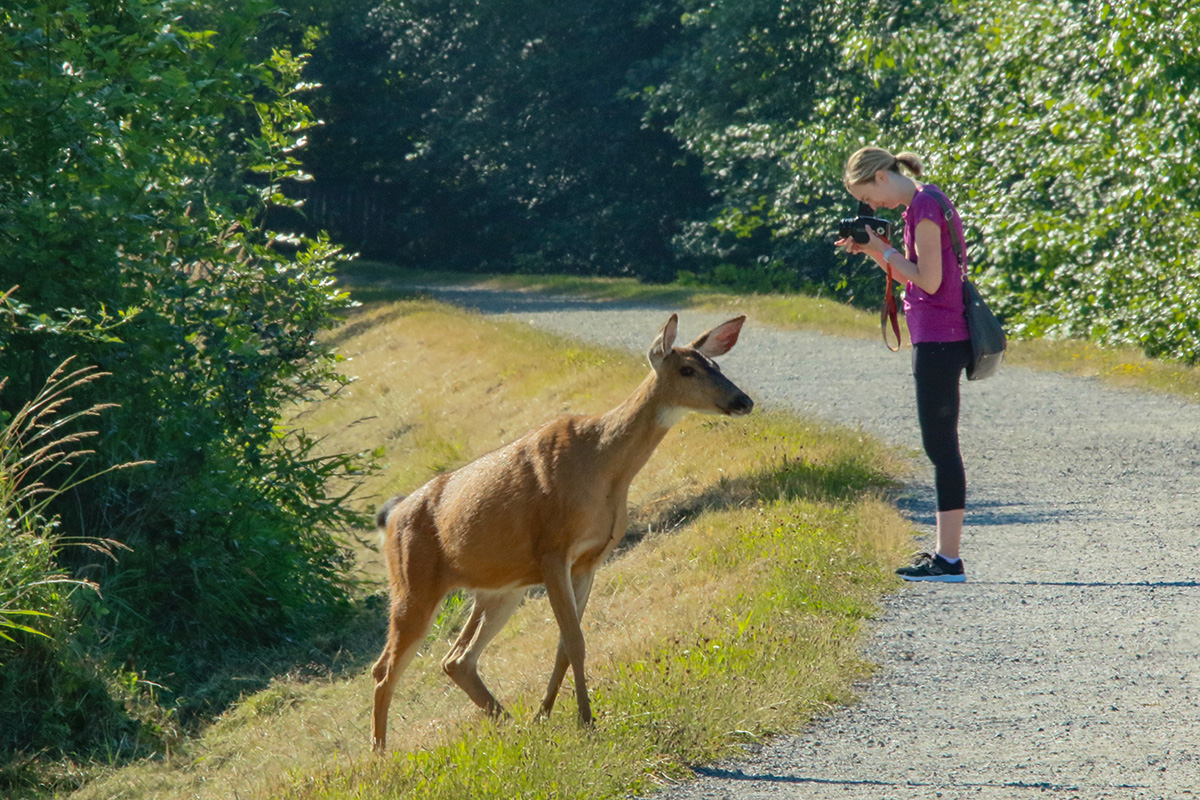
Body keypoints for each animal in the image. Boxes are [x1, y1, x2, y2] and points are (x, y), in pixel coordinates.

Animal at [369, 311, 753, 753]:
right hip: (412, 584)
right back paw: (380, 755)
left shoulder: (589, 560)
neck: (602, 467)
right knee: (385, 669)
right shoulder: (552, 549)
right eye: (687, 369)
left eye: (717, 365)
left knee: (456, 659)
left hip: (501, 589)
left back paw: (514, 724)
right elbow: (574, 641)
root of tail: (391, 517)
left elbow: (564, 647)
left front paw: (546, 715)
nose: (743, 400)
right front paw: (586, 721)